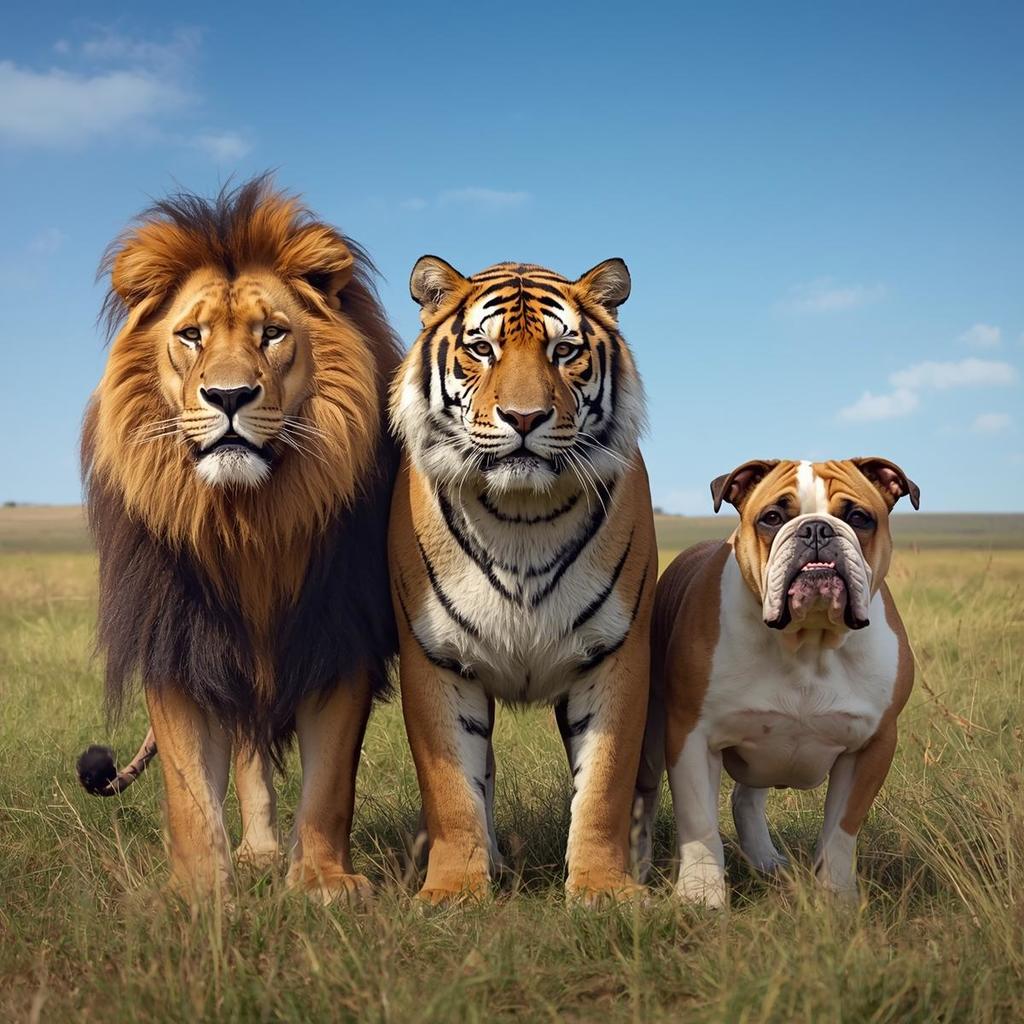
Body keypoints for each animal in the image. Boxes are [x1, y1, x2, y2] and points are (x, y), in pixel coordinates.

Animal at [76, 176, 401, 902]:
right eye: (190, 336)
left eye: (272, 333)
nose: (228, 396)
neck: (249, 521)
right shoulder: (177, 641)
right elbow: (189, 791)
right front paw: (200, 893)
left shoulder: (339, 638)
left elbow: (329, 783)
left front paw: (322, 882)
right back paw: (255, 855)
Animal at [388, 256, 657, 904]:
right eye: (481, 348)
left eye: (564, 351)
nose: (525, 418)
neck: (521, 517)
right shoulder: (436, 658)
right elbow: (452, 789)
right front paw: (455, 890)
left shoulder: (616, 653)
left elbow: (605, 784)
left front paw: (603, 888)